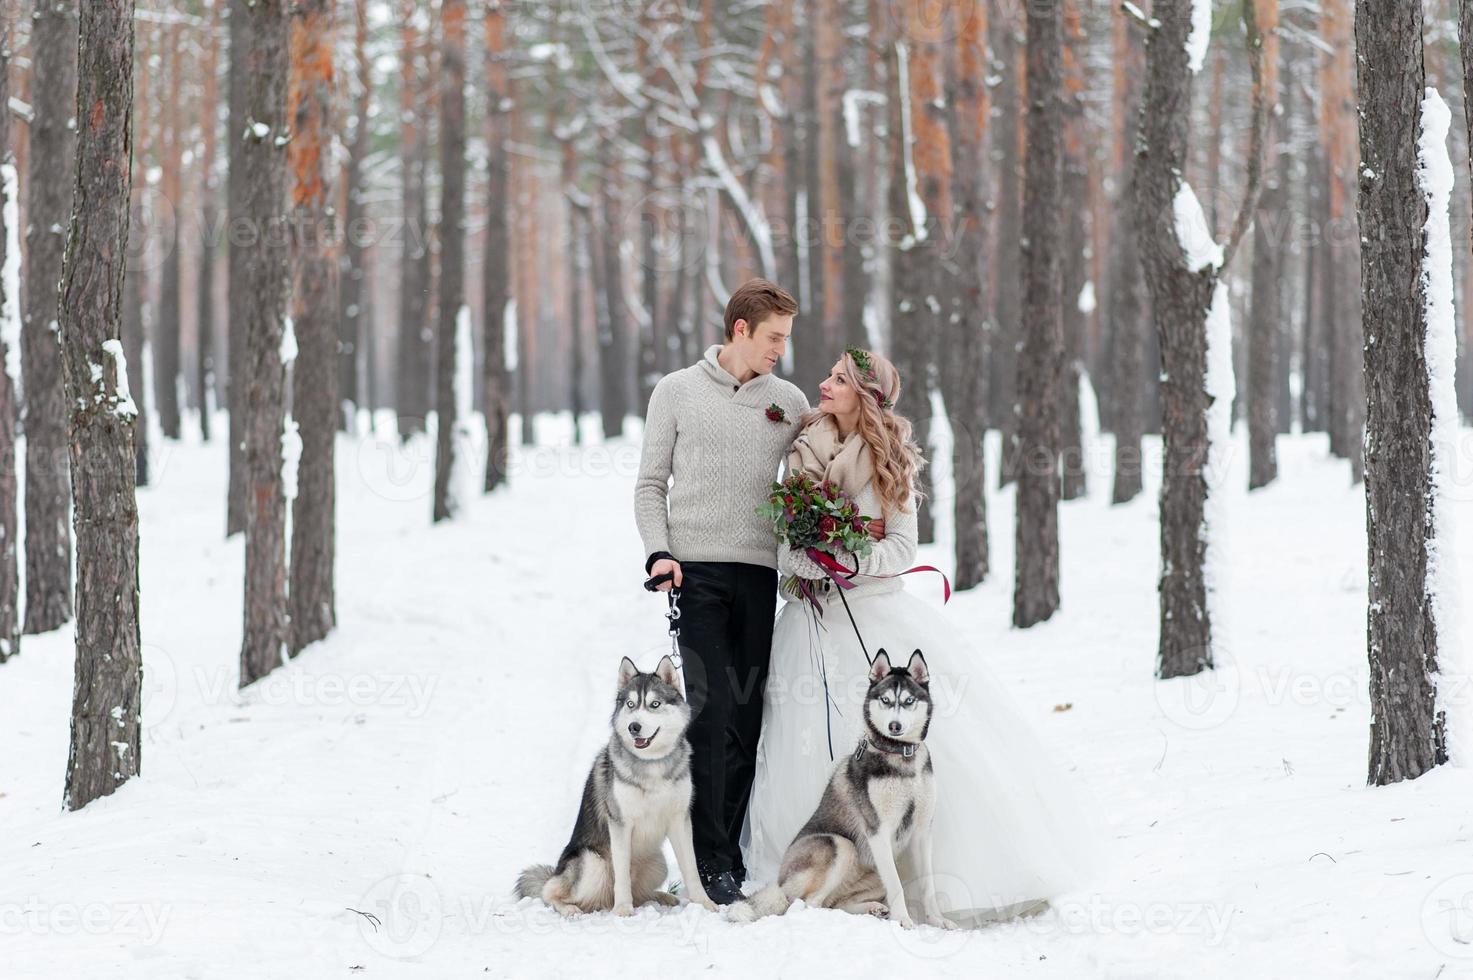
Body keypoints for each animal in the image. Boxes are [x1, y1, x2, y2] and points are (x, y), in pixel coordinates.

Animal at [512, 654, 718, 913]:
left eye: (654, 704)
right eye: (630, 704)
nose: (634, 727)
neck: (652, 764)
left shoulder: (679, 819)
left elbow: (691, 869)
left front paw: (704, 902)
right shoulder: (620, 823)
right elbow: (621, 876)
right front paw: (622, 910)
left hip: (658, 863)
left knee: (640, 893)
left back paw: (661, 897)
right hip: (592, 862)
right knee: (550, 891)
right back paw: (571, 908)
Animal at [733, 645, 960, 931]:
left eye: (909, 701)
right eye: (885, 700)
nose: (894, 726)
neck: (901, 758)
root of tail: (779, 880)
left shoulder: (921, 831)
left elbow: (928, 885)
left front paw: (937, 920)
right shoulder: (878, 831)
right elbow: (897, 885)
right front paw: (903, 920)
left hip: (872, 871)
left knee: (835, 902)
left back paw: (872, 909)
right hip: (841, 845)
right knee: (809, 903)